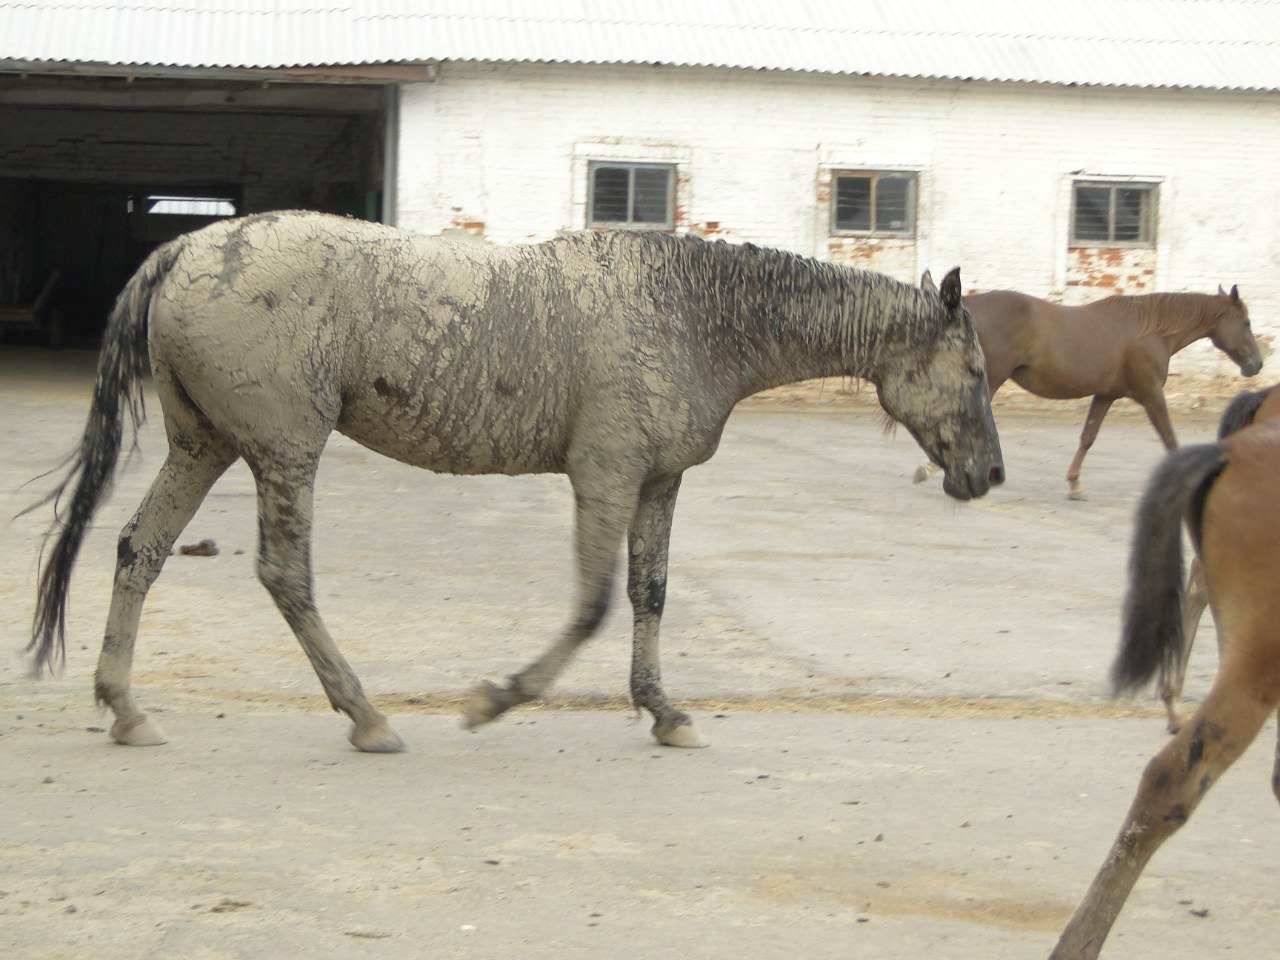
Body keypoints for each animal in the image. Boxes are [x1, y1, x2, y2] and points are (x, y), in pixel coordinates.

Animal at [30, 209, 1003, 752]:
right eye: (976, 370)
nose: (990, 473)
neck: (693, 314)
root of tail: (184, 250)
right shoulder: (605, 474)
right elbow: (594, 605)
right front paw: (496, 701)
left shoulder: (658, 483)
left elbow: (649, 595)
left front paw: (665, 711)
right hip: (281, 452)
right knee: (285, 577)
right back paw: (368, 717)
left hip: (205, 445)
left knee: (139, 549)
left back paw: (125, 709)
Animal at [921, 284, 1259, 496]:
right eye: (1245, 322)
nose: (1256, 364)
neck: (1152, 331)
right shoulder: (1151, 395)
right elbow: (1169, 439)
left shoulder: (1106, 395)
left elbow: (1088, 436)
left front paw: (1074, 483)